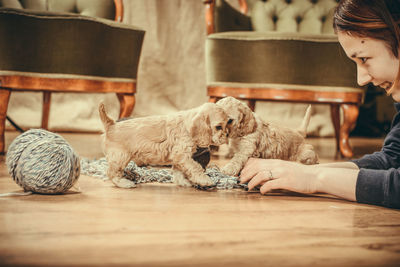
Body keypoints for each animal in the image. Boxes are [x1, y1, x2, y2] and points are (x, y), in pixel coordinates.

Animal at [100, 102, 230, 188]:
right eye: (218, 127)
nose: (227, 136)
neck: (187, 124)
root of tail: (111, 125)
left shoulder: (179, 158)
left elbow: (179, 171)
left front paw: (183, 182)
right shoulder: (182, 155)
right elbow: (195, 167)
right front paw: (204, 180)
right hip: (120, 157)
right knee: (111, 172)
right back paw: (124, 183)